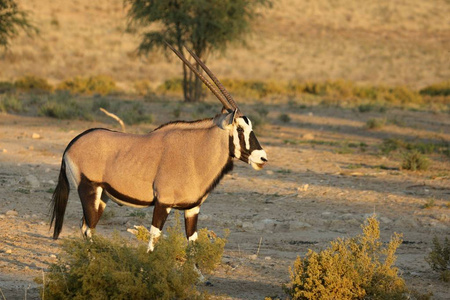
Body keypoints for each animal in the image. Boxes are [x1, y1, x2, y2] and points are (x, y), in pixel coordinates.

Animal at [49, 44, 268, 251]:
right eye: (239, 128)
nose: (262, 158)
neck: (195, 152)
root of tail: (72, 143)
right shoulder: (163, 203)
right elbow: (153, 240)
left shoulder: (192, 209)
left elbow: (193, 245)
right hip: (89, 190)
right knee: (87, 229)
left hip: (103, 196)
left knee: (87, 227)